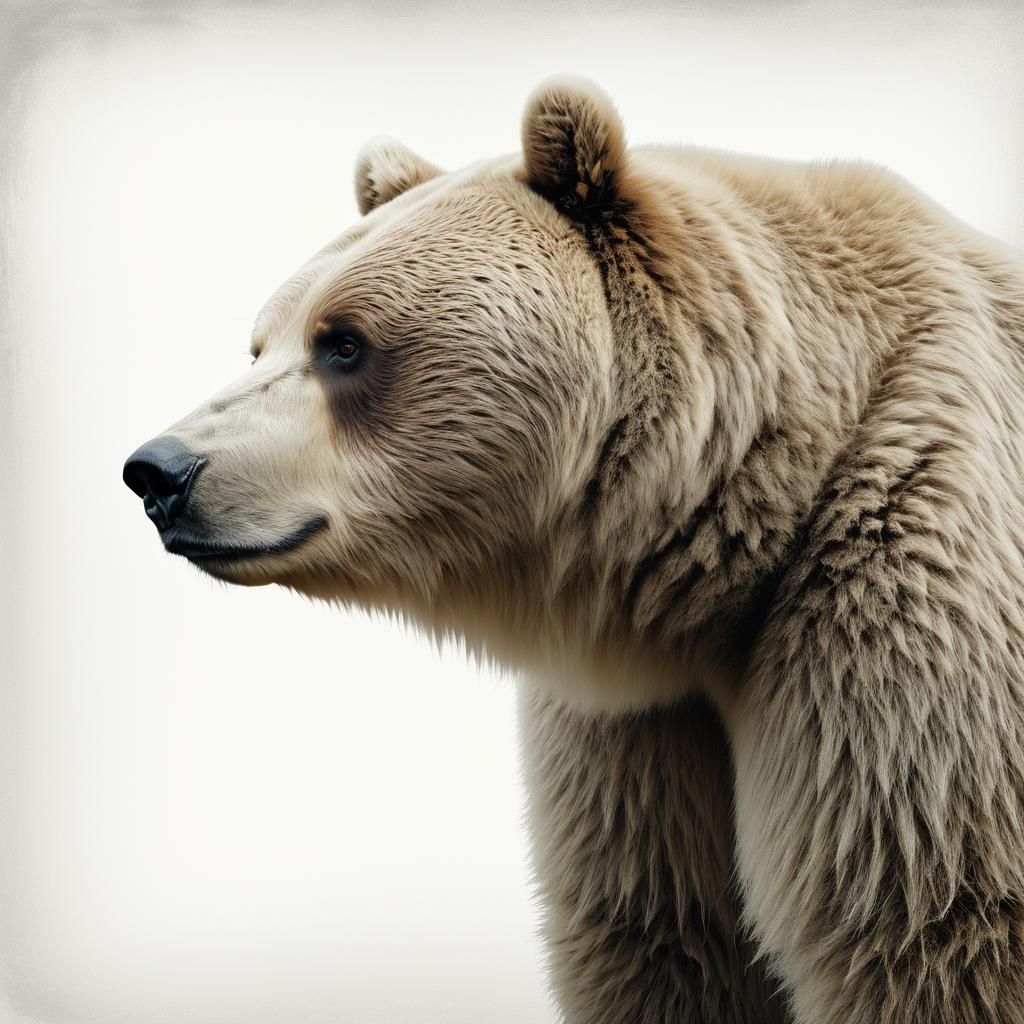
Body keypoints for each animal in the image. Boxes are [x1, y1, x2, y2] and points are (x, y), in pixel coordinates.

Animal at [123, 77, 1024, 1023]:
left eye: (344, 342)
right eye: (263, 341)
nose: (159, 471)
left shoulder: (899, 626)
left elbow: (929, 921)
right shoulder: (635, 732)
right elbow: (663, 944)